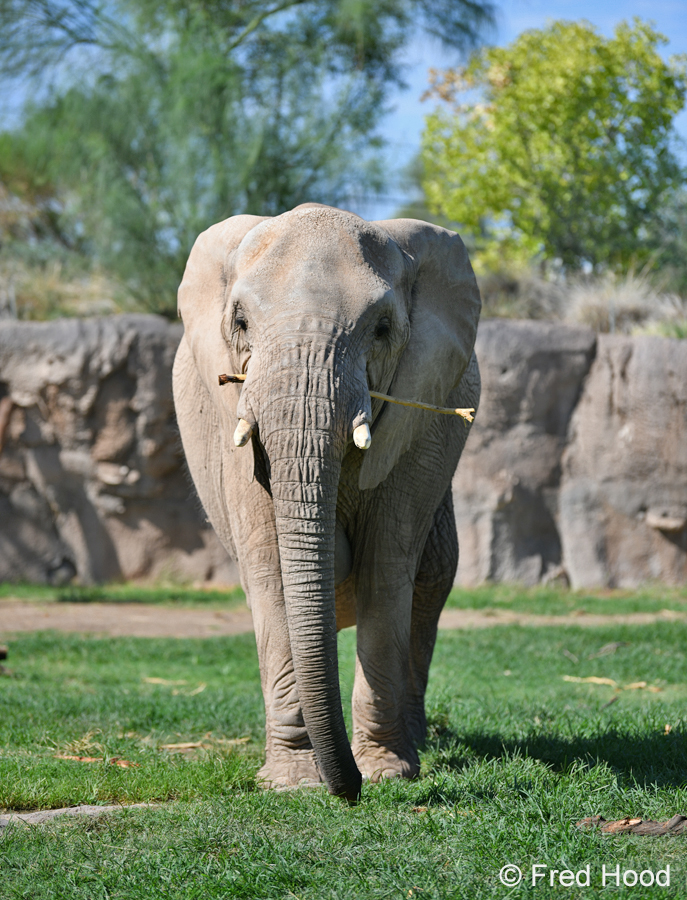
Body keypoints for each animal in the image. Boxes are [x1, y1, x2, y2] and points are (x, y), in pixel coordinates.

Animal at [172, 204, 481, 803]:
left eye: (382, 329)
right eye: (239, 322)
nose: (351, 789)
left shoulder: (418, 431)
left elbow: (386, 569)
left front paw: (387, 772)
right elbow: (270, 574)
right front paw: (294, 782)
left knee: (431, 577)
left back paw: (415, 742)